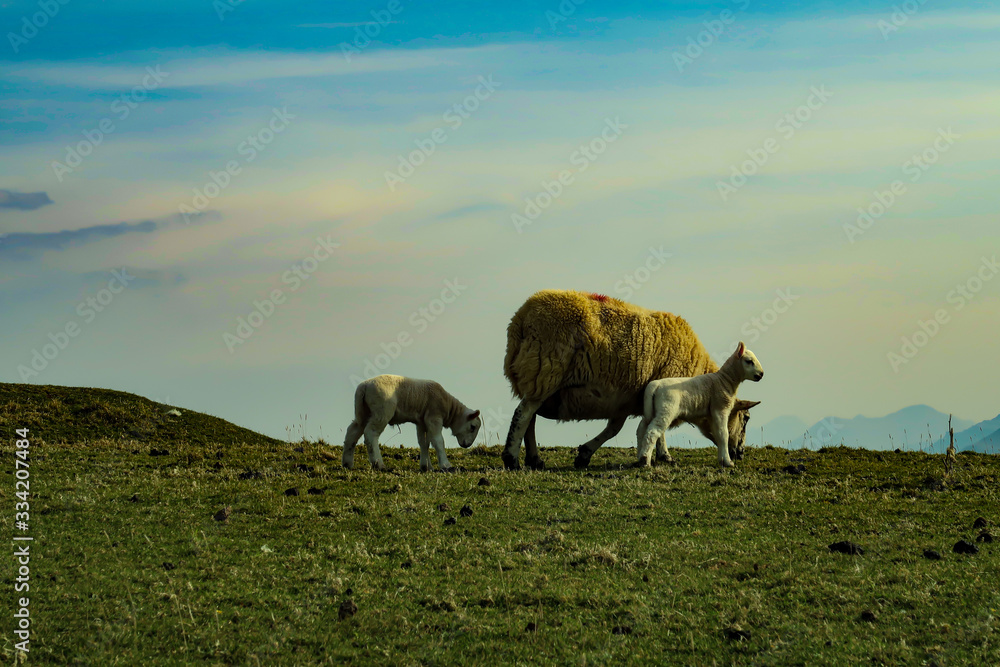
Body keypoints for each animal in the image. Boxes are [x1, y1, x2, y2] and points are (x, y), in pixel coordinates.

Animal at [343, 374, 482, 472]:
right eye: (472, 427)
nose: (467, 445)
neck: (449, 407)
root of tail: (364, 386)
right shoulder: (434, 418)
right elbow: (438, 441)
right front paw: (445, 465)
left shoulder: (422, 422)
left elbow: (424, 443)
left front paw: (426, 467)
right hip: (382, 411)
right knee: (371, 433)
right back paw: (378, 464)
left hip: (363, 412)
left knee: (352, 432)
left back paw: (347, 463)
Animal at [502, 290, 761, 470]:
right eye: (745, 418)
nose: (740, 453)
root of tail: (520, 319)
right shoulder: (661, 388)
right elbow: (659, 428)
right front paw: (665, 456)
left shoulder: (622, 398)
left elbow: (614, 429)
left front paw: (585, 454)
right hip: (545, 372)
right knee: (522, 415)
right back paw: (512, 459)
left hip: (538, 379)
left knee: (530, 419)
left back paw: (534, 460)